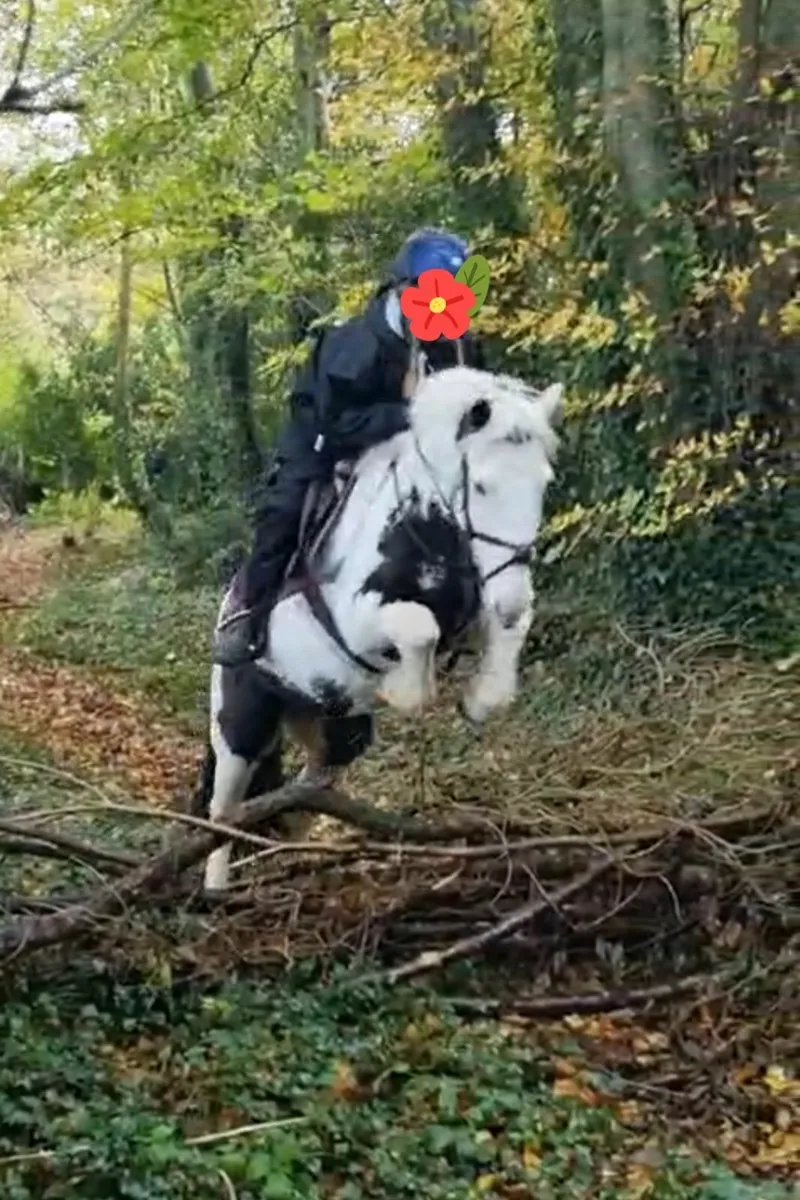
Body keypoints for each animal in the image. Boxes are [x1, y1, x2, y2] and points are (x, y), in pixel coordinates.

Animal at [194, 365, 563, 892]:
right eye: (482, 487)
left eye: (543, 484)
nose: (510, 596)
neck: (422, 523)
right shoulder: (360, 615)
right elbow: (419, 630)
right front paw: (408, 690)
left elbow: (506, 636)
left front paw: (479, 699)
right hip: (241, 722)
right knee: (223, 809)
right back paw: (216, 890)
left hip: (333, 727)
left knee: (306, 790)